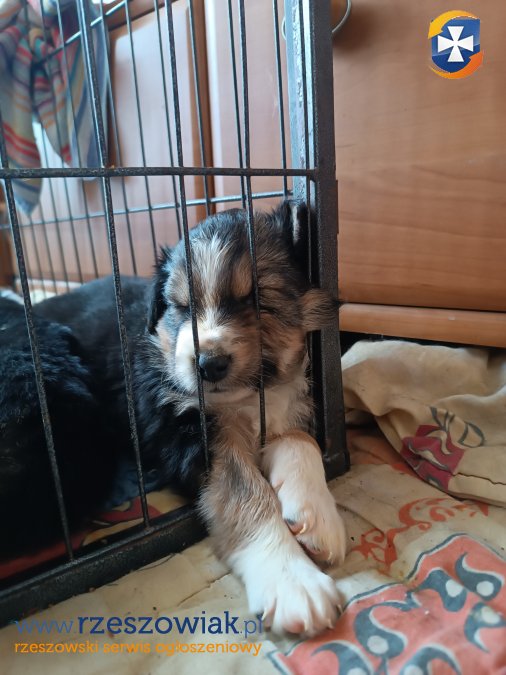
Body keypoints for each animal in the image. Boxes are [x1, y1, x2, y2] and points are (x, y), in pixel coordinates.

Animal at [34, 200, 347, 635]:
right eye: (182, 307)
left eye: (257, 298)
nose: (207, 363)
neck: (247, 399)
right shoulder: (191, 434)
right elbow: (245, 493)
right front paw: (294, 582)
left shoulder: (287, 402)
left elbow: (301, 440)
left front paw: (317, 515)